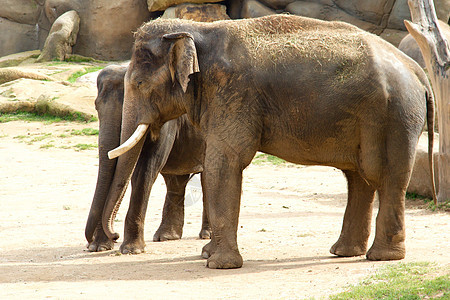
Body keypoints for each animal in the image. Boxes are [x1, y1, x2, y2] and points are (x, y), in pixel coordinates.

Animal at [84, 64, 211, 254]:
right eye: (96, 106)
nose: (115, 236)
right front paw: (99, 247)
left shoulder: (166, 119)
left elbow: (145, 170)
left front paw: (132, 250)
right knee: (175, 180)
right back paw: (166, 236)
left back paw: (206, 235)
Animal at [102, 14, 436, 270]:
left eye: (139, 83)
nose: (113, 239)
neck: (198, 30)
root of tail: (418, 71)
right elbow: (217, 163)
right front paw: (209, 256)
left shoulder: (233, 93)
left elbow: (224, 162)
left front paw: (218, 265)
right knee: (360, 178)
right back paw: (343, 252)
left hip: (395, 116)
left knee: (387, 177)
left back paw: (382, 257)